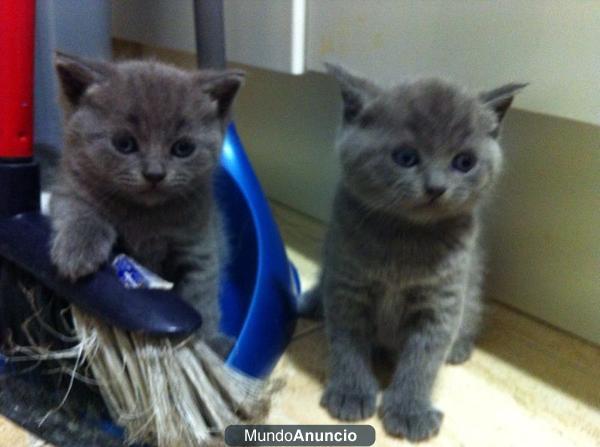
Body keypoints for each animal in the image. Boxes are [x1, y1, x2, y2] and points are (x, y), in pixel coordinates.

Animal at [48, 52, 243, 356]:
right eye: (124, 144)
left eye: (183, 148)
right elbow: (77, 211)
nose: (154, 174)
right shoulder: (68, 187)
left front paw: (209, 343)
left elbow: (201, 297)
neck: (145, 216)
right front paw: (78, 251)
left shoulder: (198, 243)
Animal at [300, 65, 524, 442]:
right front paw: (351, 392)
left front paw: (409, 410)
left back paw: (459, 348)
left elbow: (423, 360)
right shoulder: (346, 285)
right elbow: (346, 343)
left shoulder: (441, 302)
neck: (406, 238)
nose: (436, 187)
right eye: (405, 157)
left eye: (464, 162)